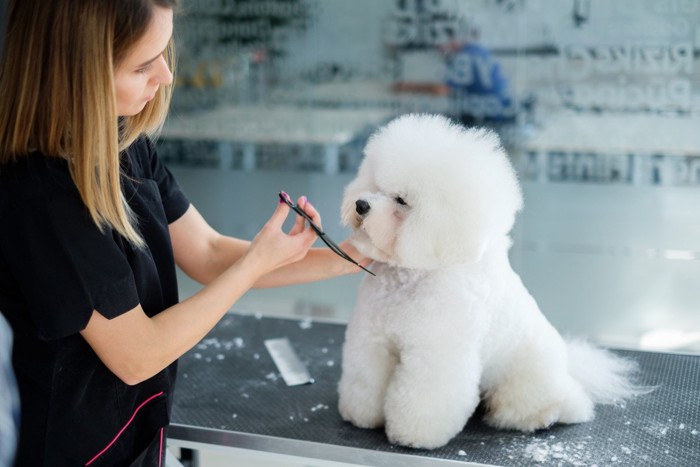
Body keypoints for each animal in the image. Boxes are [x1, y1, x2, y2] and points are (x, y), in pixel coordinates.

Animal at [336, 113, 644, 450]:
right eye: (375, 185)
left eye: (401, 200)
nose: (361, 204)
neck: (408, 280)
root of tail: (568, 366)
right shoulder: (373, 340)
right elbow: (366, 379)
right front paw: (361, 415)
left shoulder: (436, 354)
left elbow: (425, 397)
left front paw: (413, 435)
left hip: (527, 377)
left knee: (556, 403)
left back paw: (542, 415)